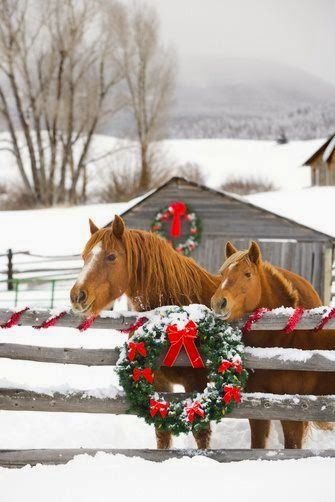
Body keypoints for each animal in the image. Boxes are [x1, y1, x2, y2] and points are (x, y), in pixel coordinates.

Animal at [70, 215, 222, 448]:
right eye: (84, 257)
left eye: (111, 256)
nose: (77, 296)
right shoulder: (158, 382)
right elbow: (162, 433)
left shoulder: (196, 383)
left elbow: (201, 433)